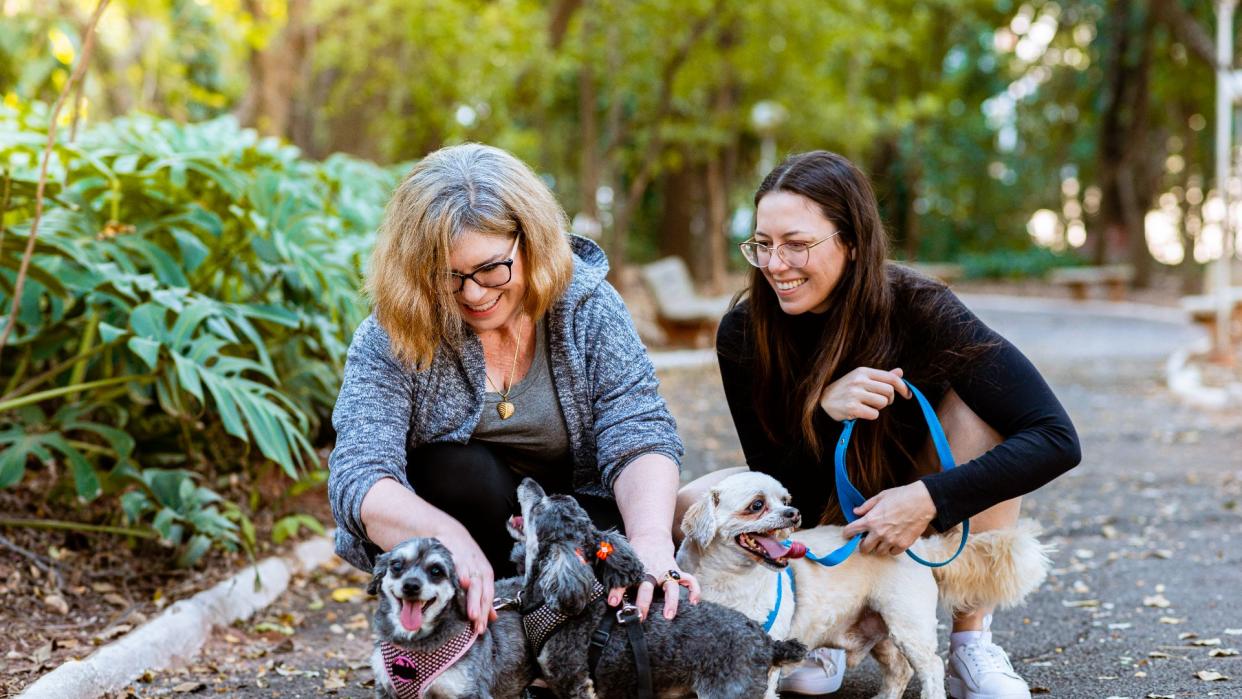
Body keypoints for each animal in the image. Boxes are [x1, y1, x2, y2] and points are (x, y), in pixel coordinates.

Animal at [362, 538, 529, 695]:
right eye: (396, 565)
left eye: (436, 571)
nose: (411, 585)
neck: (411, 641)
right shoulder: (385, 688)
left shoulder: (472, 690)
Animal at [680, 469, 1048, 699]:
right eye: (756, 505)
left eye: (785, 499)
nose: (792, 513)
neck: (729, 581)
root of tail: (919, 546)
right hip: (879, 629)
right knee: (900, 671)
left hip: (908, 625)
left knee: (930, 668)